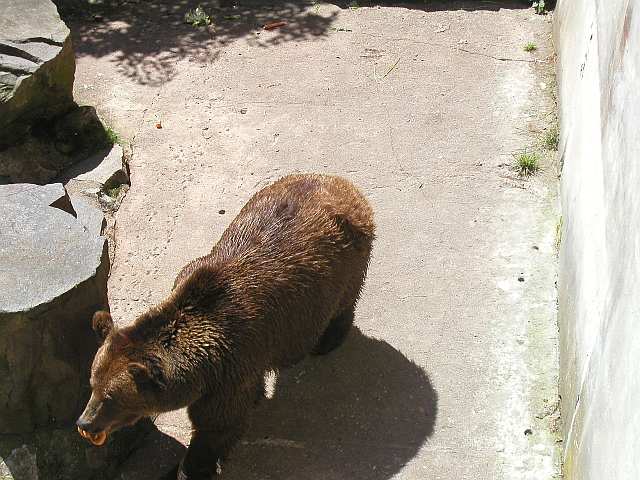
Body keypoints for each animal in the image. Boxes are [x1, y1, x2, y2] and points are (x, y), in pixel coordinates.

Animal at [76, 173, 375, 479]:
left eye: (111, 397)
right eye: (92, 384)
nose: (85, 423)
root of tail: (340, 182)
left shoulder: (231, 366)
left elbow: (217, 424)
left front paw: (194, 466)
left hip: (347, 259)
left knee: (344, 301)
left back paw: (328, 340)